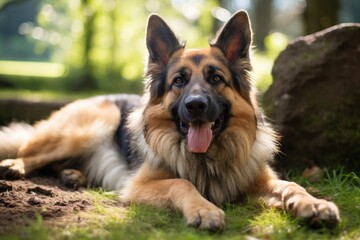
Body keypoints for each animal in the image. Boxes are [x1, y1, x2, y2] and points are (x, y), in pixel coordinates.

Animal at [0, 10, 338, 231]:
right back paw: (16, 165)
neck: (207, 158)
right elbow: (181, 183)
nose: (196, 105)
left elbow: (292, 184)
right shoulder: (139, 187)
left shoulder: (258, 180)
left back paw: (73, 175)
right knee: (30, 151)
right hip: (93, 125)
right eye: (179, 81)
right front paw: (204, 209)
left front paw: (314, 204)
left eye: (216, 78)